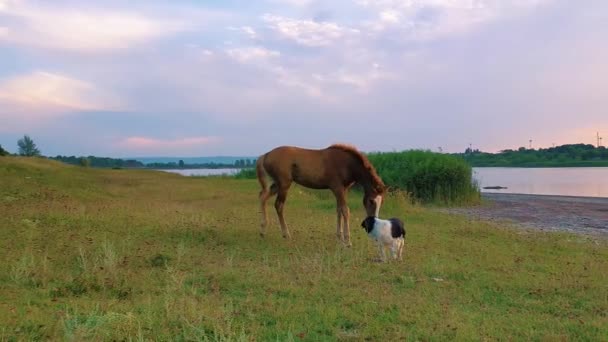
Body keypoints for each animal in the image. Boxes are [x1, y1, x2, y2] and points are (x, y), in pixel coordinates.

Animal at [255, 144, 384, 246]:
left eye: (381, 202)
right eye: (371, 201)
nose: (373, 221)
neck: (347, 164)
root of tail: (265, 155)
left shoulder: (343, 190)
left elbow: (339, 210)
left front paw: (340, 238)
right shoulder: (337, 189)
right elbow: (345, 211)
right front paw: (348, 242)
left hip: (275, 184)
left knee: (262, 197)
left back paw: (262, 230)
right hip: (284, 184)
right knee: (279, 205)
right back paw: (286, 234)